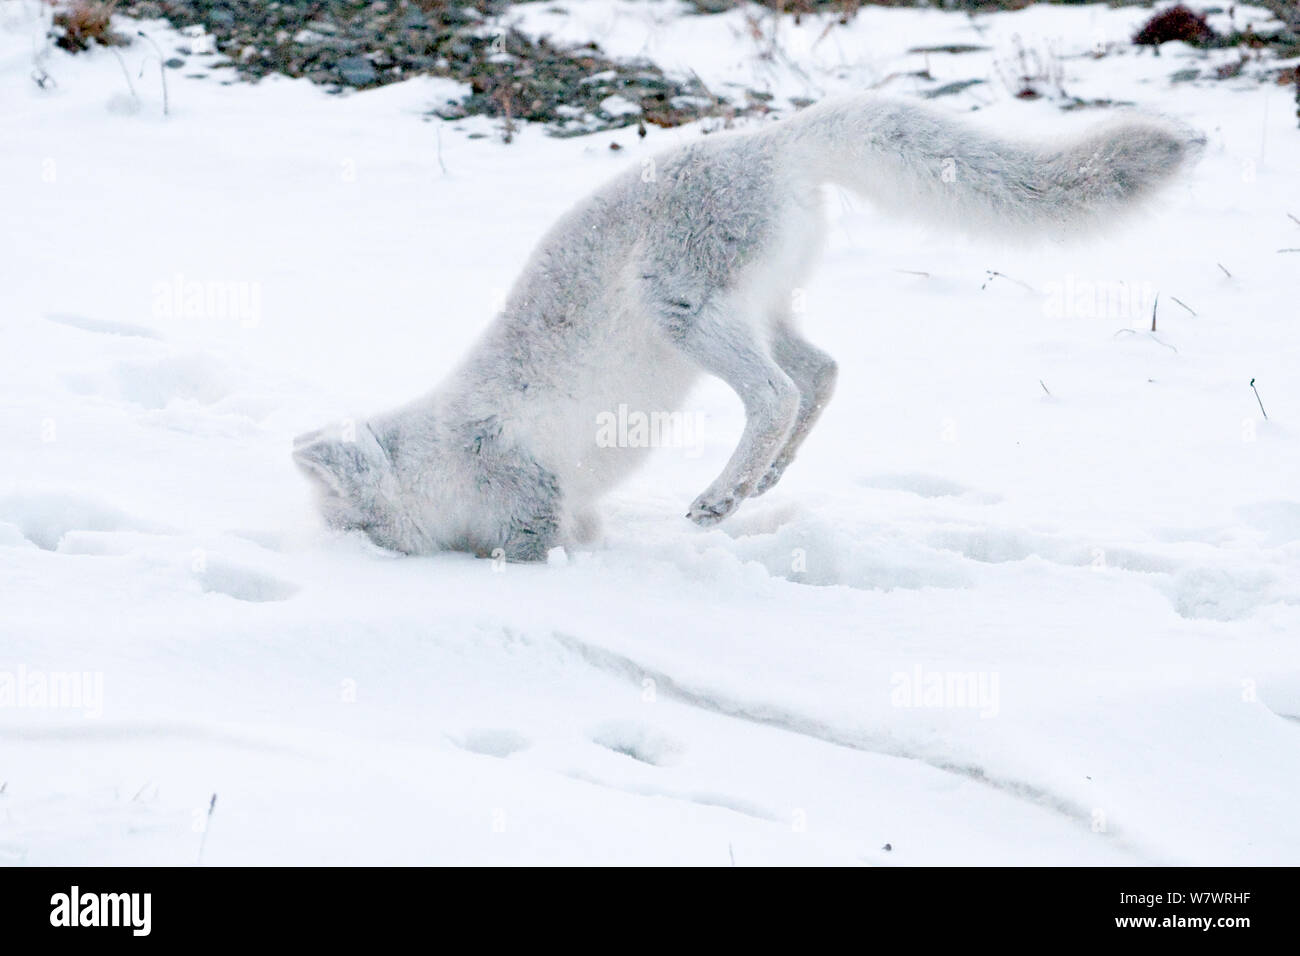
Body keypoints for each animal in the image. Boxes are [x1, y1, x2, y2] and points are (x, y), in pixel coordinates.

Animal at [292, 95, 1196, 561]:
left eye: (347, 520)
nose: (347, 556)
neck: (436, 456)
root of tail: (770, 141)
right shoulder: (571, 506)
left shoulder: (526, 489)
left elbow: (530, 542)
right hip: (764, 307)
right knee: (821, 371)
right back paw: (762, 484)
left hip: (684, 305)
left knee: (774, 391)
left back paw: (720, 498)